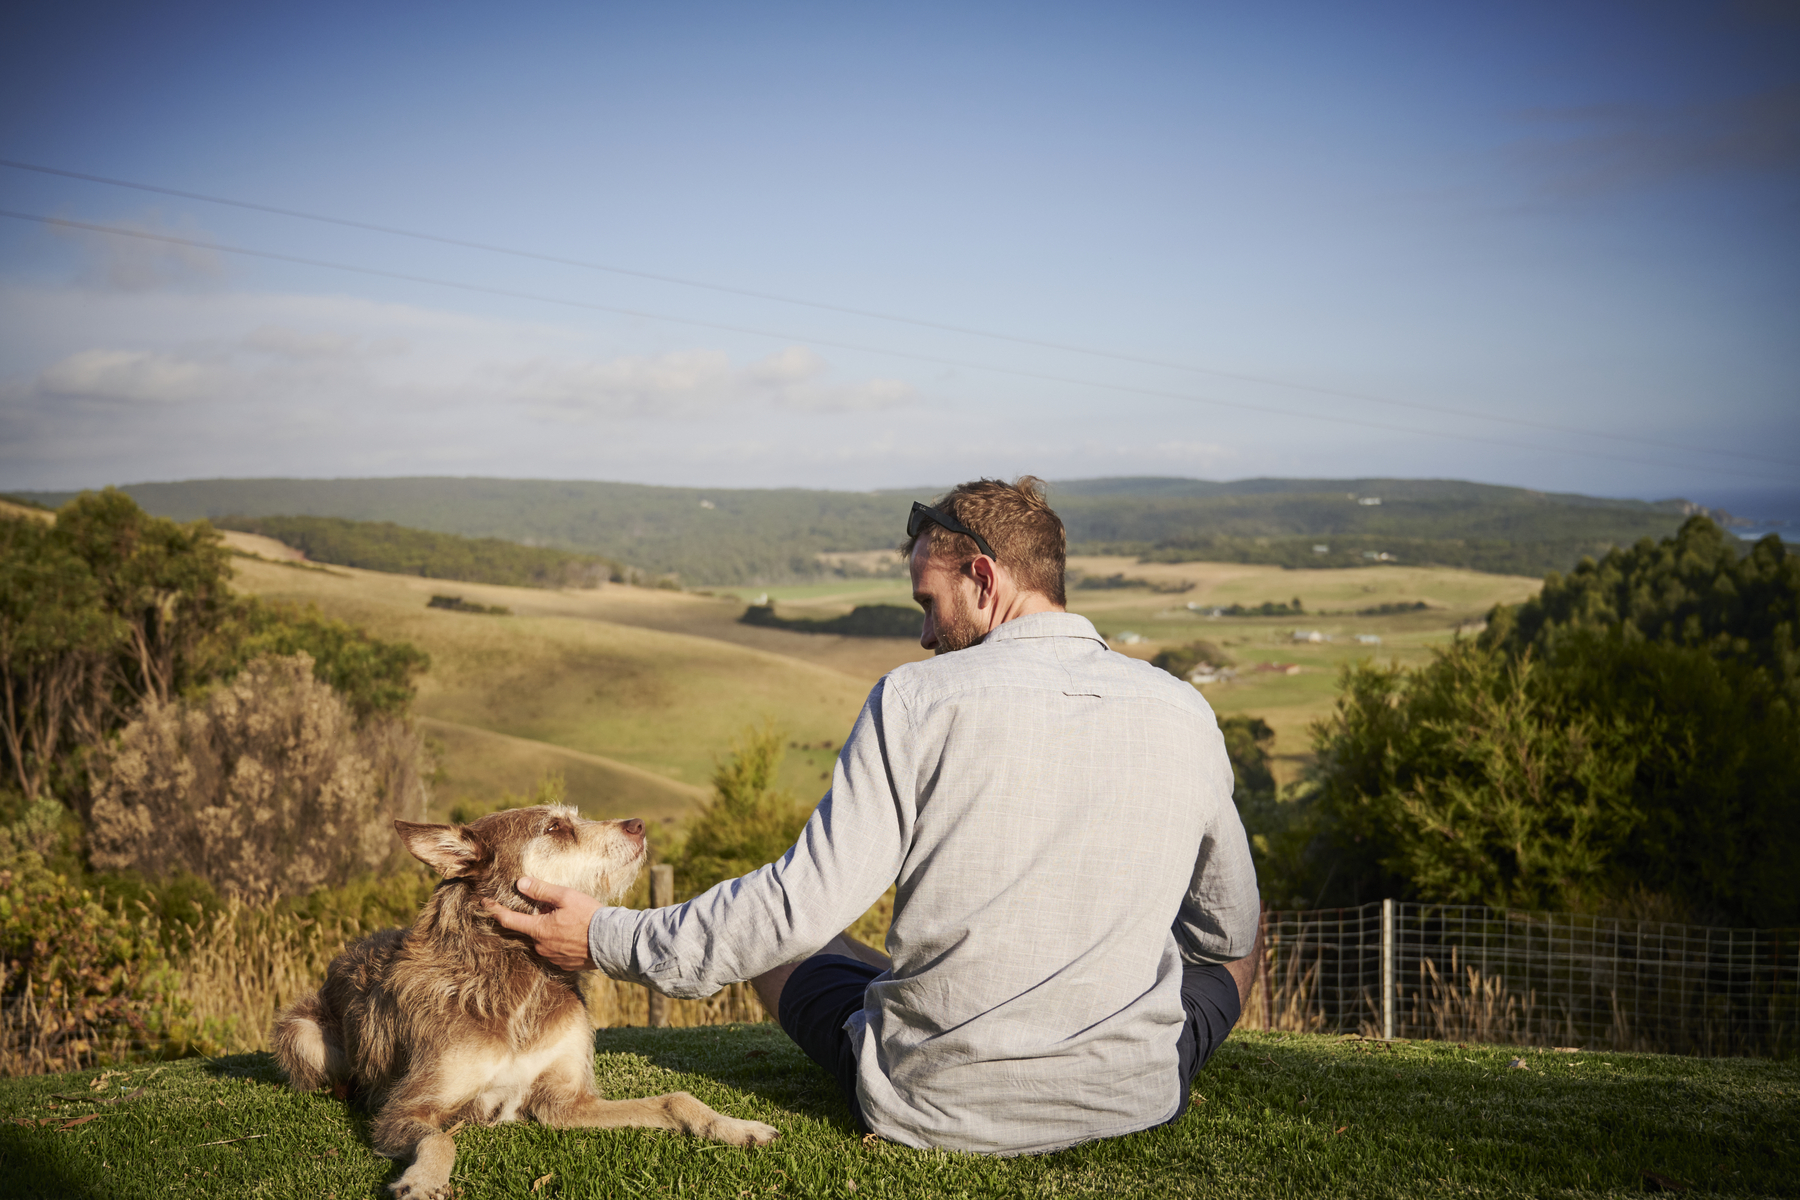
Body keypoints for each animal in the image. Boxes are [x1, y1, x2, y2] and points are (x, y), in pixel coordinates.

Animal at [272, 805, 779, 1200]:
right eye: (554, 827)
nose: (638, 824)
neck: (519, 976)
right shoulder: (404, 1110)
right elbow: (442, 1141)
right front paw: (422, 1181)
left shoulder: (565, 1103)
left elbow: (675, 1099)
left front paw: (736, 1126)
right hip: (301, 1032)